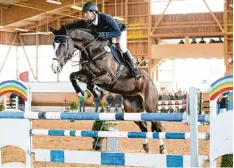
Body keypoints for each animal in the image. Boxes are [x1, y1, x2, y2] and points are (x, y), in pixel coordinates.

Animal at [49, 19, 166, 154]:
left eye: (63, 44)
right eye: (53, 45)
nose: (55, 67)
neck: (93, 50)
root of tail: (152, 82)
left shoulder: (108, 77)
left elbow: (91, 82)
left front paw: (97, 92)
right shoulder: (86, 74)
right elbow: (72, 76)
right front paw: (82, 93)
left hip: (150, 105)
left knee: (156, 125)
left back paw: (162, 149)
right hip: (131, 108)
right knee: (143, 126)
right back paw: (146, 147)